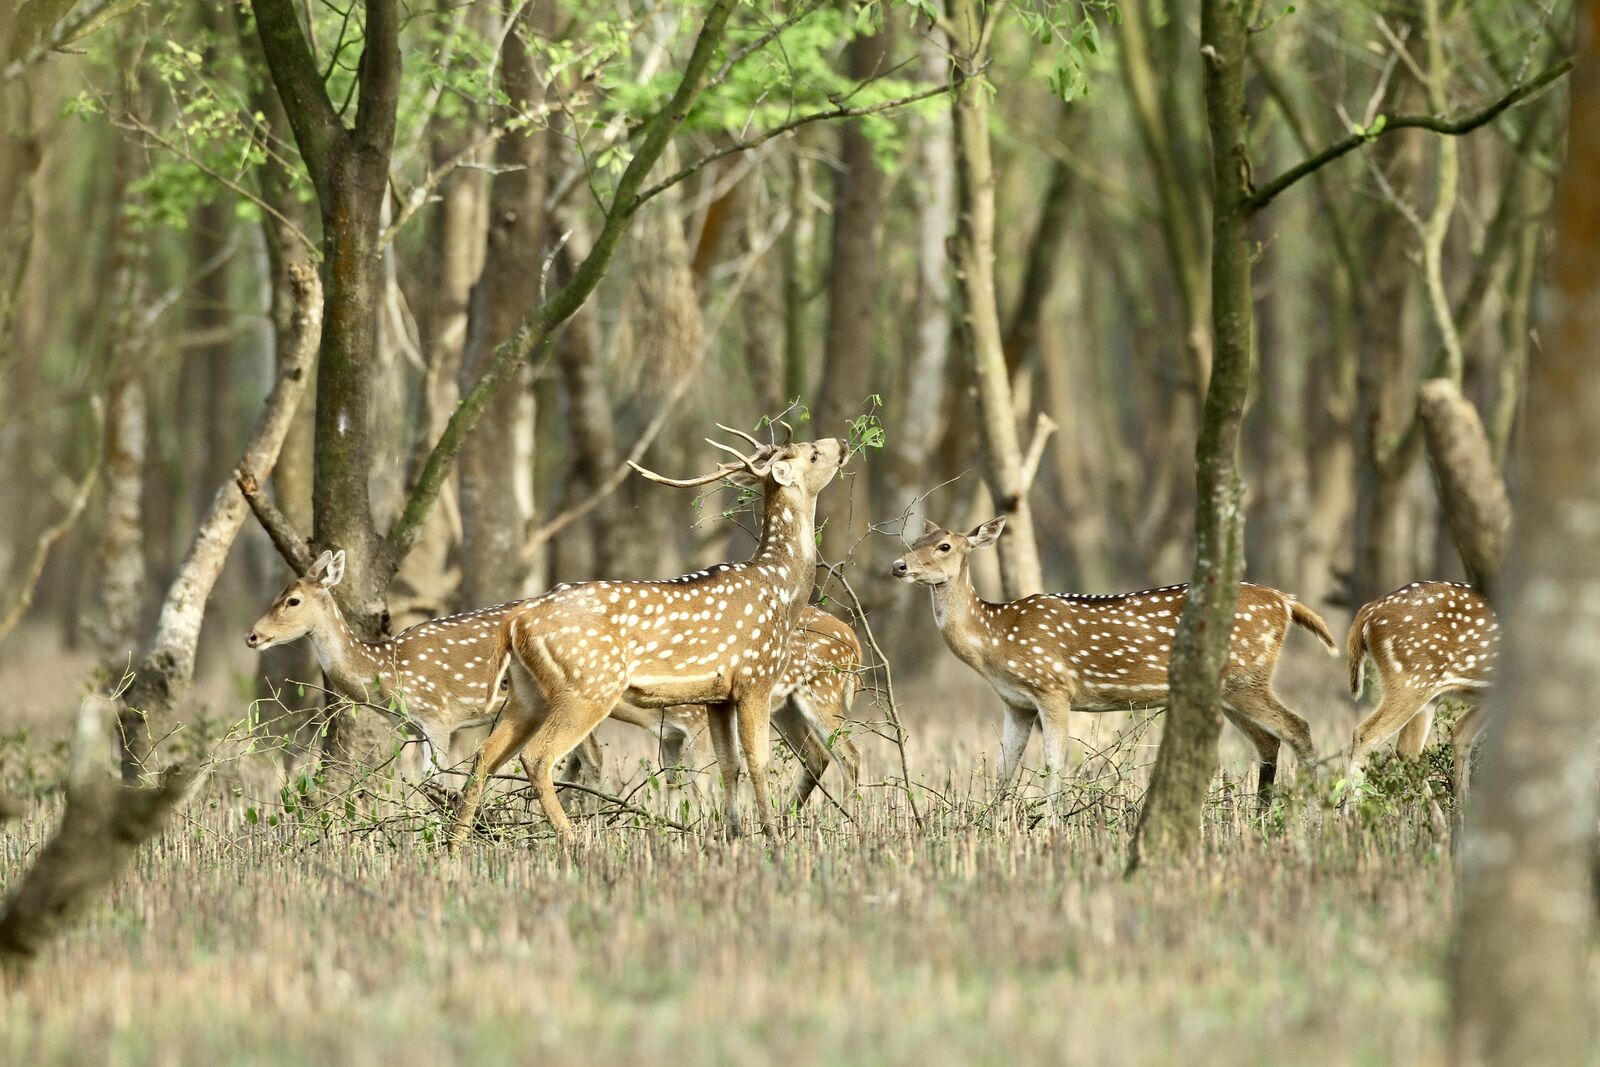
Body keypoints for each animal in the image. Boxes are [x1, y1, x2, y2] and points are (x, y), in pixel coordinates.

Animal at [450, 428, 850, 843]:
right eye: (814, 454)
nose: (842, 442)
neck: (782, 589)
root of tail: (515, 622)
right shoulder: (755, 677)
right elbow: (757, 761)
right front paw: (771, 836)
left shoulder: (718, 697)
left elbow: (729, 765)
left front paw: (733, 834)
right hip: (589, 686)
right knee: (538, 756)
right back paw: (573, 840)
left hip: (528, 693)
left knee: (483, 755)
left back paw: (456, 843)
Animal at [890, 517, 1334, 800]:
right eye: (914, 543)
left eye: (945, 546)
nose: (898, 565)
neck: (995, 637)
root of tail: (1286, 602)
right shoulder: (1016, 704)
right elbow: (1003, 771)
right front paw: (992, 826)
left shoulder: (1053, 687)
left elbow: (1054, 765)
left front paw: (1048, 827)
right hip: (1230, 688)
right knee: (1268, 741)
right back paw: (1262, 818)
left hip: (1247, 677)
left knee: (1298, 727)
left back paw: (1309, 816)